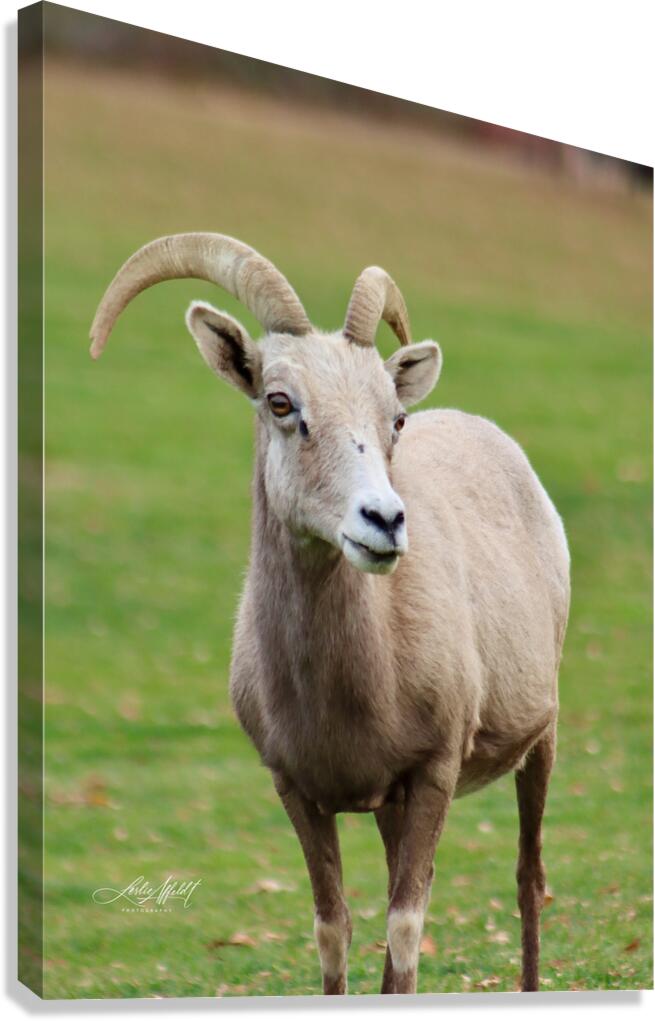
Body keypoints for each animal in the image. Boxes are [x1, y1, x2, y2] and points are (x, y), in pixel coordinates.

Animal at [90, 232, 570, 996]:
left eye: (393, 418)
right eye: (280, 402)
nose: (384, 521)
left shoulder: (433, 774)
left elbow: (403, 930)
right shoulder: (301, 791)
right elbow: (335, 932)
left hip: (539, 741)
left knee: (529, 879)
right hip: (392, 810)